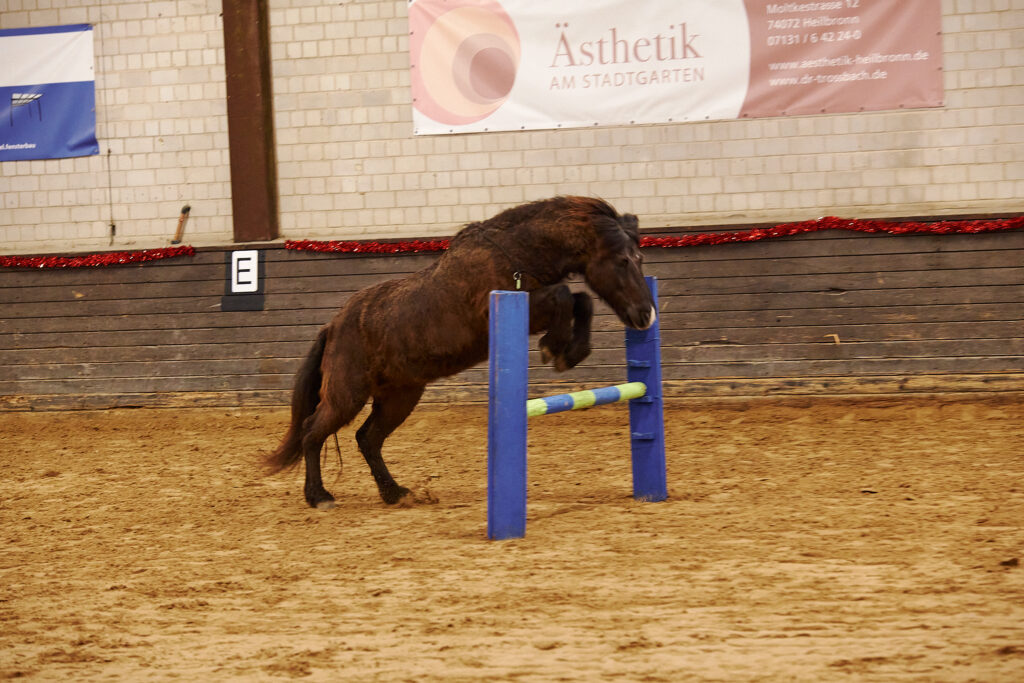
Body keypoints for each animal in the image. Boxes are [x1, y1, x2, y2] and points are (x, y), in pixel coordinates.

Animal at [265, 196, 657, 509]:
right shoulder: (522, 309)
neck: (516, 254)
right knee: (312, 432)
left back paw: (396, 493)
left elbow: (581, 300)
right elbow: (565, 296)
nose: (645, 316)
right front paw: (555, 348)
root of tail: (333, 326)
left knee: (369, 439)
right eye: (623, 260)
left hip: (400, 396)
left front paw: (570, 351)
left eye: (640, 258)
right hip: (347, 395)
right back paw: (320, 497)